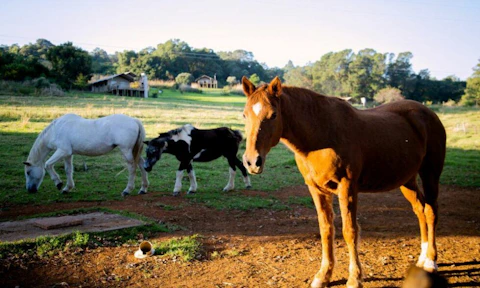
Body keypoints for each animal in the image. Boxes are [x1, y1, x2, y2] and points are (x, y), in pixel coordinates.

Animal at [242, 75, 448, 286]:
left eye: (273, 115)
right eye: (244, 115)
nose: (252, 161)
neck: (321, 136)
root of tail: (427, 113)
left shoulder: (347, 187)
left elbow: (350, 231)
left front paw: (354, 278)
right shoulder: (317, 190)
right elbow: (326, 230)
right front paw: (323, 276)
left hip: (430, 174)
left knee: (431, 211)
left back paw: (431, 260)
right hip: (407, 180)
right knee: (420, 209)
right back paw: (422, 257)